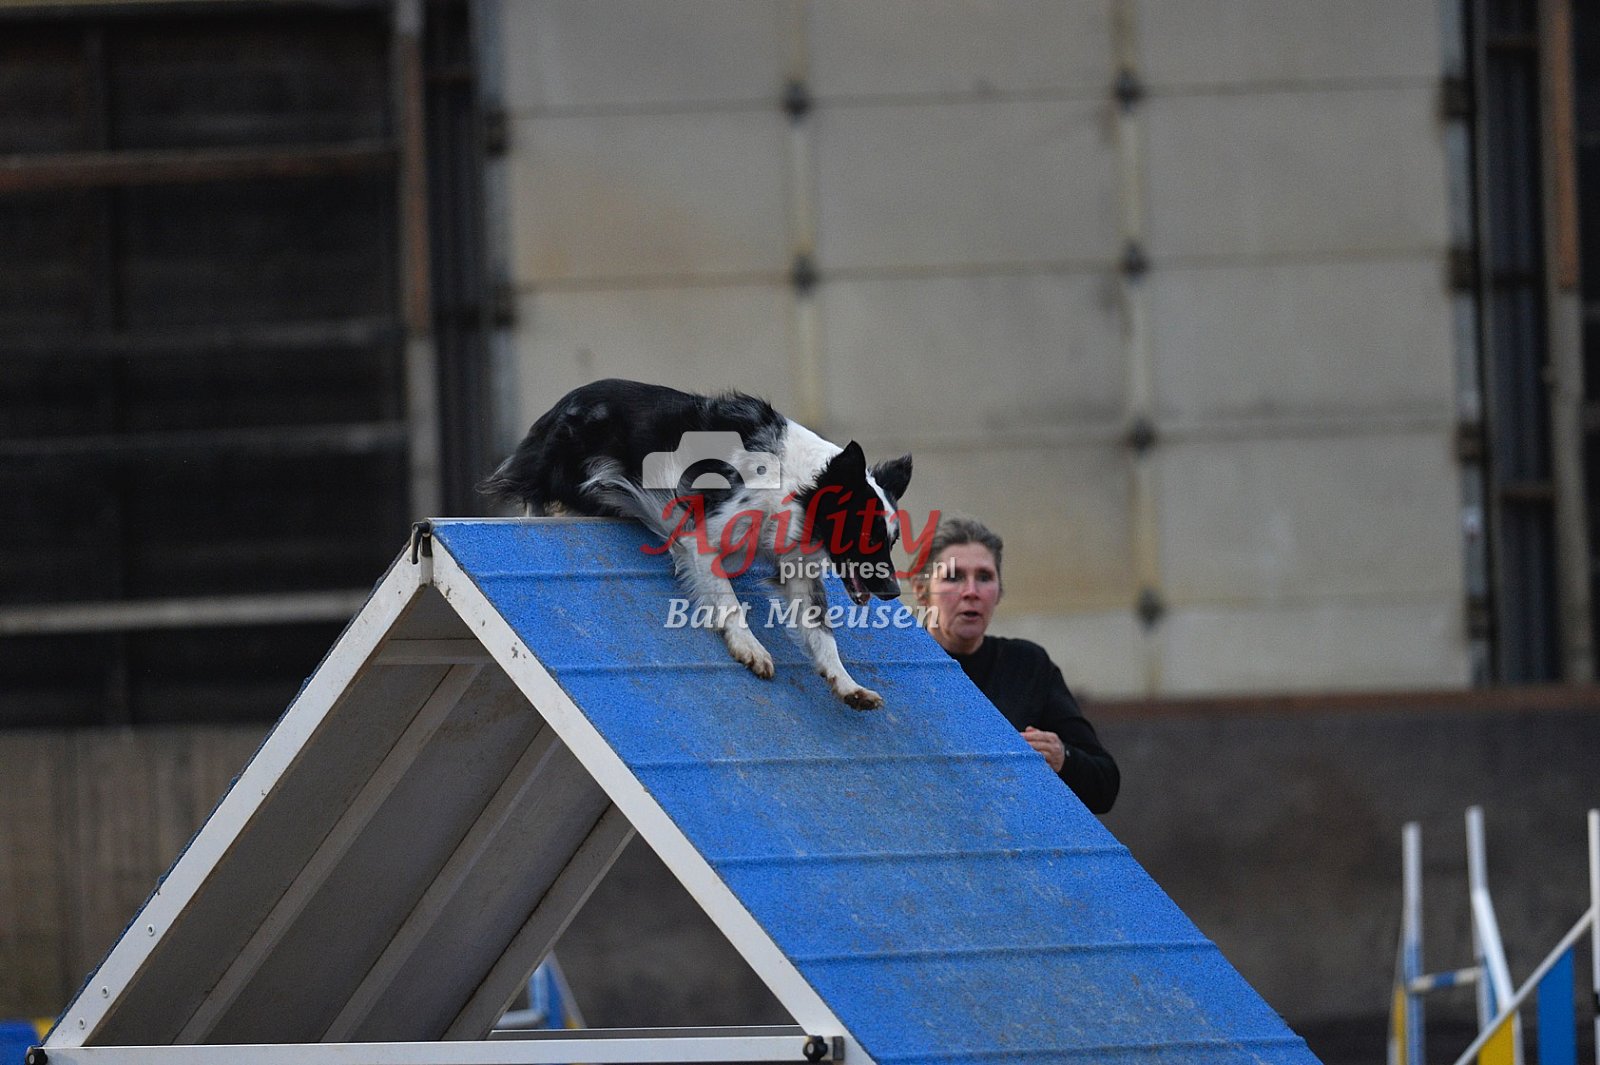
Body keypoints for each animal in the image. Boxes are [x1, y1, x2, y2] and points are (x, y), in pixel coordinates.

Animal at [478, 379, 913, 709]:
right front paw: (750, 648)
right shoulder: (701, 536)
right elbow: (729, 600)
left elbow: (822, 633)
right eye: (866, 535)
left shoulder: (798, 571)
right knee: (534, 492)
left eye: (891, 540)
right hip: (564, 465)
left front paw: (849, 686)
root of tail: (562, 404)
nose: (893, 592)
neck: (802, 485)